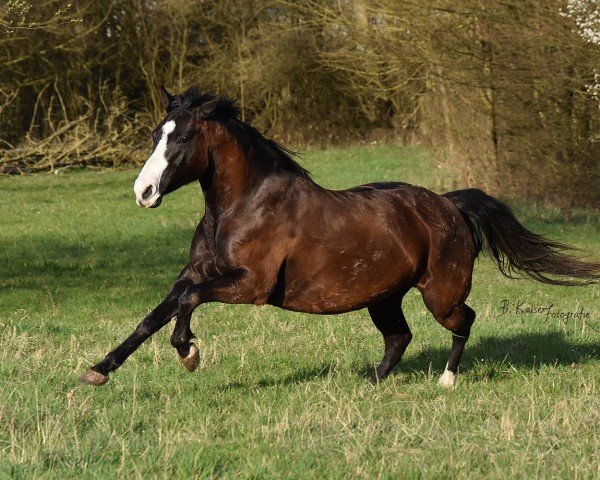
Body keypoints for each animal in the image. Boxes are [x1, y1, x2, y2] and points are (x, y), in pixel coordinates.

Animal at [81, 85, 600, 386]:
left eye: (184, 138)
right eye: (156, 133)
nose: (143, 192)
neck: (243, 206)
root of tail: (449, 204)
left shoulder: (251, 286)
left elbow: (187, 303)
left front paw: (189, 353)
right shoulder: (196, 272)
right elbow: (155, 314)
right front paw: (98, 371)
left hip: (440, 293)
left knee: (463, 321)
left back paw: (446, 382)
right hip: (383, 296)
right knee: (400, 336)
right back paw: (372, 383)